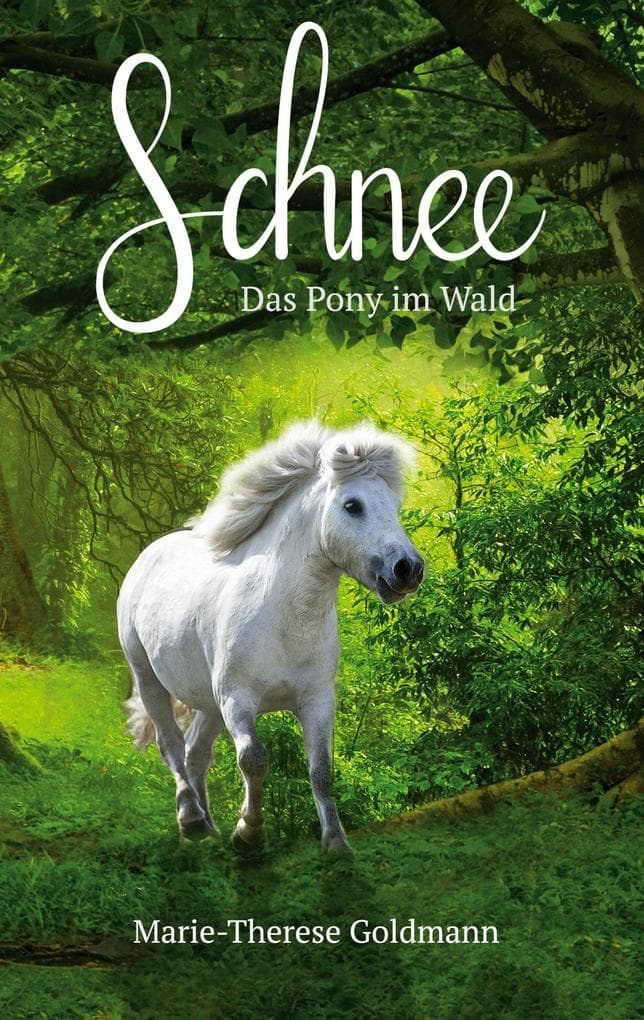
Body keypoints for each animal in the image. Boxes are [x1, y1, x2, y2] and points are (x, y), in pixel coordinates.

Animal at [117, 421, 424, 853]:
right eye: (353, 506)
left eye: (394, 507)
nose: (408, 569)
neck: (285, 619)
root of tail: (151, 553)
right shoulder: (238, 700)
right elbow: (254, 759)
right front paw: (248, 832)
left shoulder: (316, 700)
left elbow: (321, 769)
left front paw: (335, 843)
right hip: (149, 679)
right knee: (172, 746)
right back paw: (191, 819)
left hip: (208, 702)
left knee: (196, 753)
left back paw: (208, 827)